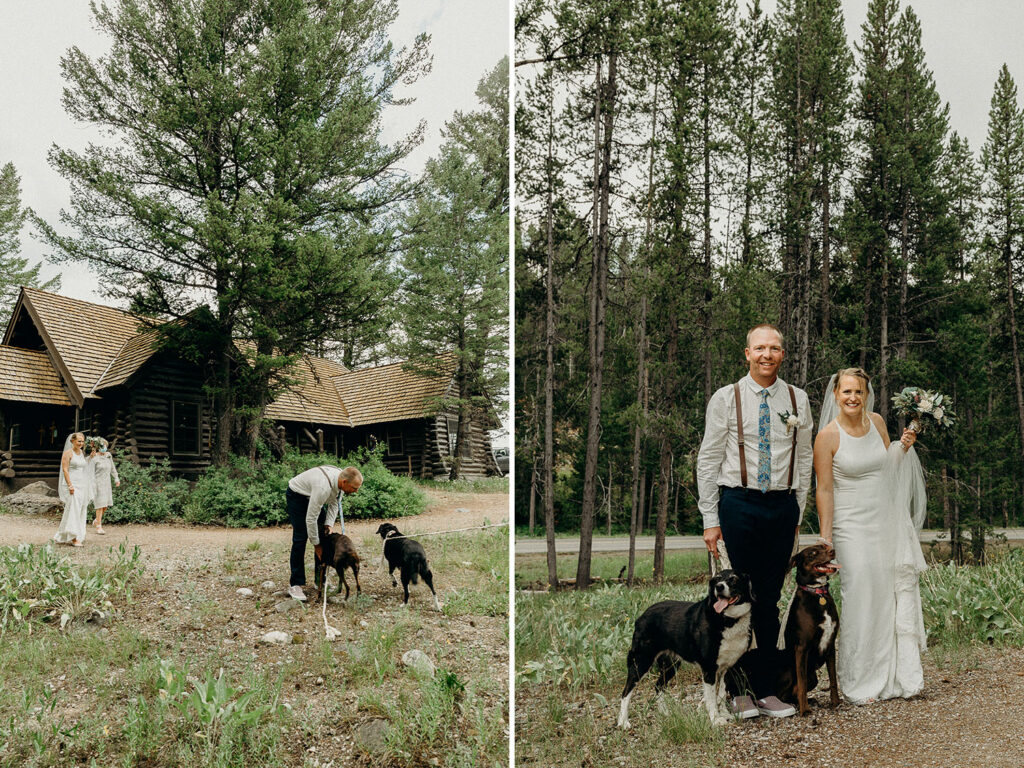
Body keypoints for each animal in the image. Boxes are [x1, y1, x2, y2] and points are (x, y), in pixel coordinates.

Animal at [614, 569, 753, 729]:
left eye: (733, 579)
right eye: (717, 579)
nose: (719, 587)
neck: (727, 619)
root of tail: (641, 616)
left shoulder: (726, 667)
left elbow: (722, 693)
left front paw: (724, 714)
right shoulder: (709, 669)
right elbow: (712, 698)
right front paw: (715, 719)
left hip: (671, 665)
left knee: (658, 686)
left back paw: (665, 713)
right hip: (641, 660)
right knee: (626, 691)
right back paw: (623, 722)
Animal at [778, 544, 835, 720]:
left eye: (825, 546)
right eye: (813, 553)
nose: (833, 550)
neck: (817, 593)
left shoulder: (830, 644)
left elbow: (833, 679)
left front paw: (836, 703)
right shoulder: (802, 649)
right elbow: (801, 683)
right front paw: (805, 711)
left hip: (813, 678)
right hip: (791, 672)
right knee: (786, 694)